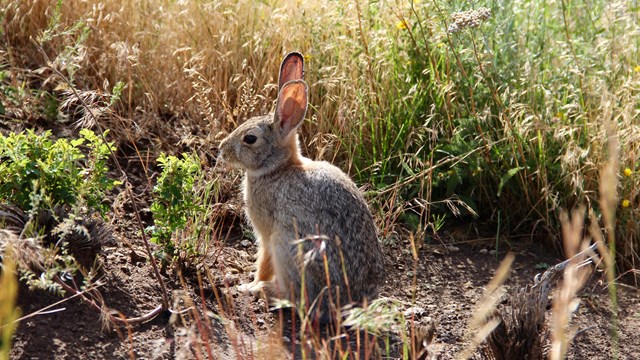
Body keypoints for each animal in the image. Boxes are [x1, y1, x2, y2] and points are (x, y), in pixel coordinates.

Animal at [218, 51, 384, 324]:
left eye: (250, 138)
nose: (222, 150)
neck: (278, 169)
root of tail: (346, 305)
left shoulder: (267, 235)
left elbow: (263, 261)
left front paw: (250, 283)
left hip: (288, 246)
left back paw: (263, 290)